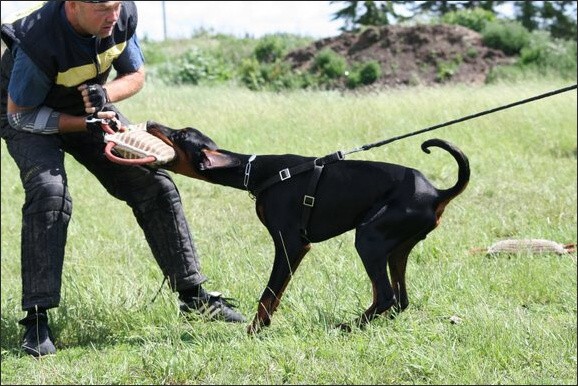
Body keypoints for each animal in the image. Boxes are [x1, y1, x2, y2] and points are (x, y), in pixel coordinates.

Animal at [146, 122, 466, 334]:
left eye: (179, 135)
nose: (150, 122)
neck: (254, 171)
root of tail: (437, 193)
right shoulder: (296, 248)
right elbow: (275, 296)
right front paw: (262, 327)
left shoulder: (289, 243)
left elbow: (268, 294)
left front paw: (254, 331)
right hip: (397, 248)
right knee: (401, 299)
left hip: (369, 239)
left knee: (386, 295)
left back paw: (347, 327)